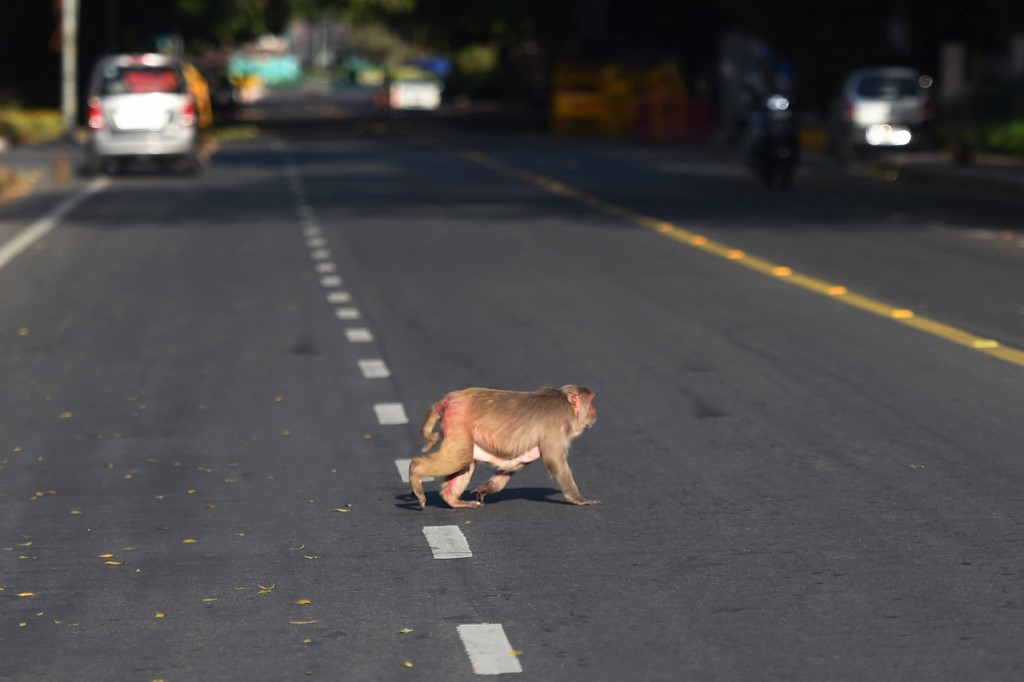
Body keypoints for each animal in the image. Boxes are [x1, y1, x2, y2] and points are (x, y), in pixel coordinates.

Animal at [407, 382, 598, 503]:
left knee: (466, 460)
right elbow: (554, 461)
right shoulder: (557, 428)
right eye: (591, 401)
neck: (565, 405)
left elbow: (515, 464)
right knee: (460, 458)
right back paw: (415, 471)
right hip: (458, 424)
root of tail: (450, 399)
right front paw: (579, 499)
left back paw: (453, 500)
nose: (595, 411)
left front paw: (485, 489)